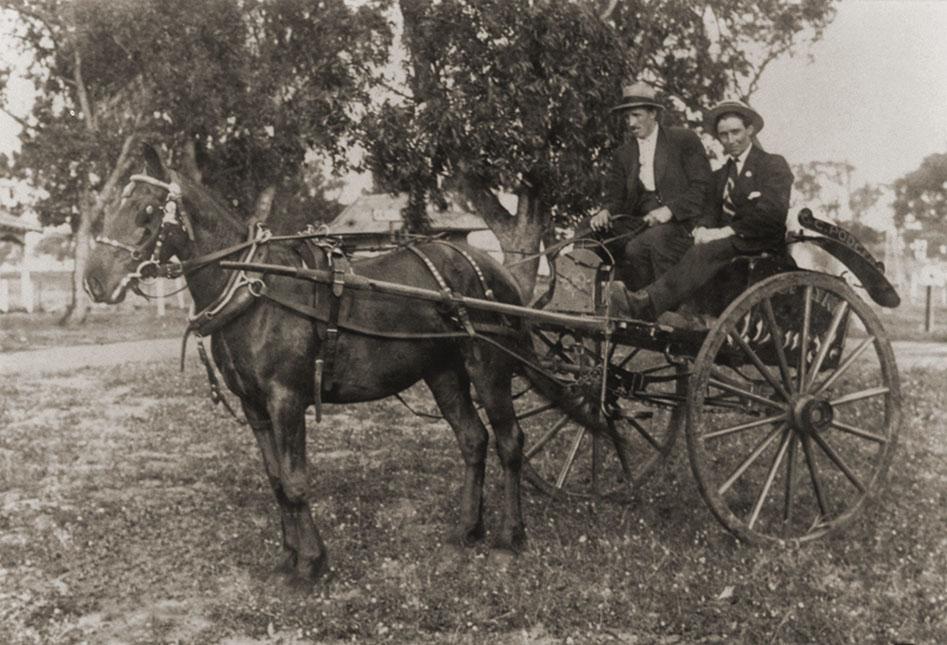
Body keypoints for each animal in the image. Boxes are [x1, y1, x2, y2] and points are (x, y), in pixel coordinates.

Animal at [86, 143, 540, 588]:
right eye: (112, 207)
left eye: (146, 210)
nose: (94, 281)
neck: (255, 288)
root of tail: (493, 268)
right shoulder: (255, 405)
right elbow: (275, 480)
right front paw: (289, 558)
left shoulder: (285, 399)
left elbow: (295, 480)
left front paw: (310, 563)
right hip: (442, 372)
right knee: (473, 439)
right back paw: (466, 530)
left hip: (488, 368)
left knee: (509, 441)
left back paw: (509, 537)